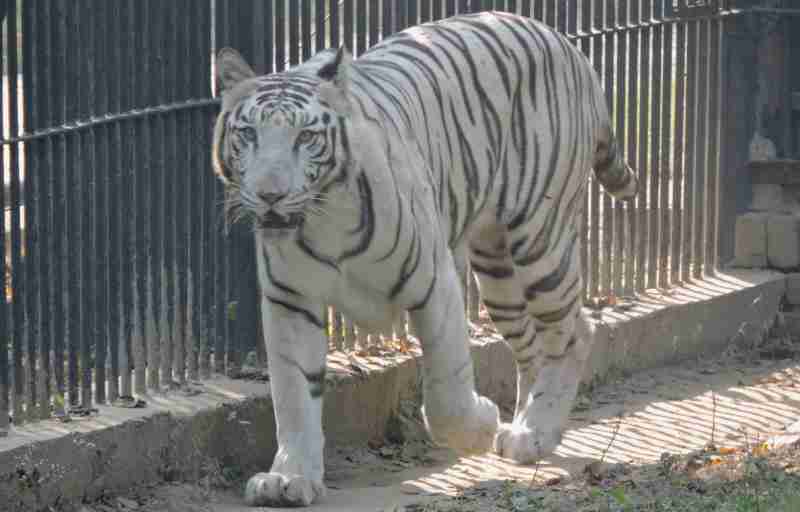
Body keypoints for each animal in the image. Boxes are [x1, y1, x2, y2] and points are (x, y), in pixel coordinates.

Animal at [212, 12, 636, 508]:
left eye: (305, 137)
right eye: (248, 134)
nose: (270, 195)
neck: (323, 220)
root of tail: (564, 41)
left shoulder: (435, 282)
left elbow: (446, 393)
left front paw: (480, 424)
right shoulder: (290, 300)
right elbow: (294, 395)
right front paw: (289, 477)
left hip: (539, 240)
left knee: (572, 332)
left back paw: (534, 432)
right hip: (498, 270)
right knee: (533, 345)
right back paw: (525, 426)